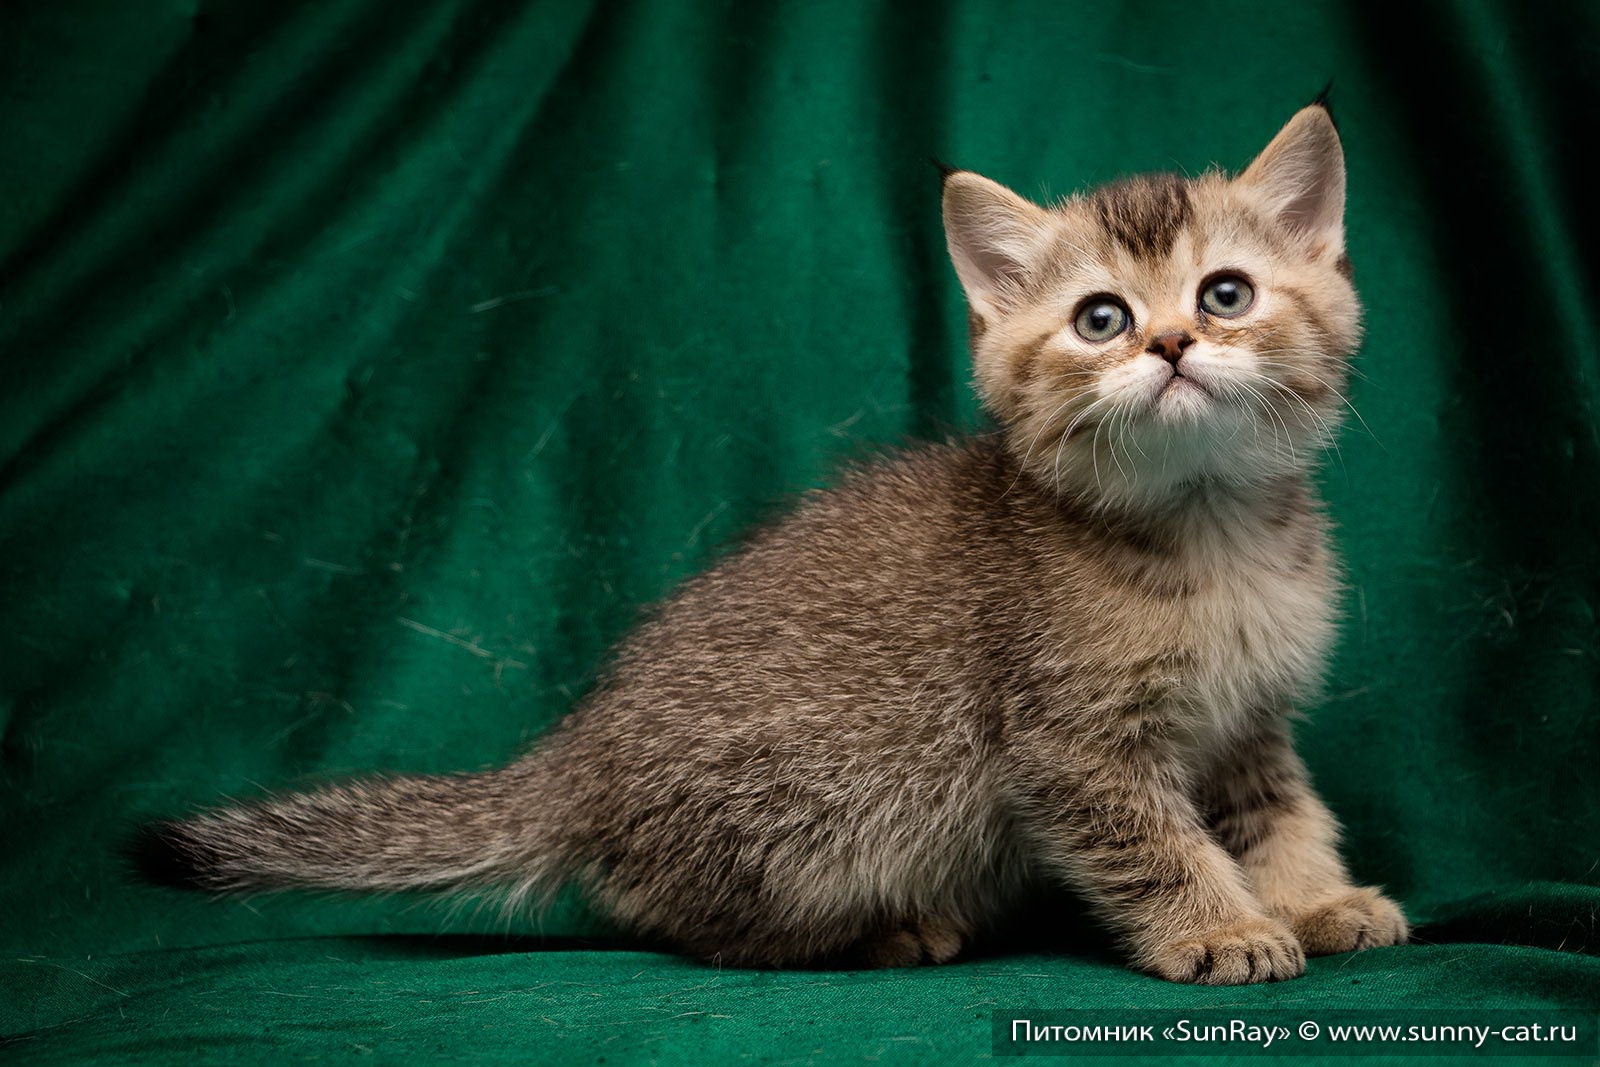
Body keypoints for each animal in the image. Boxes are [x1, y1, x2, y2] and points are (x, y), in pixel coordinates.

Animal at [140, 99, 1414, 985]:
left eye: (1224, 294)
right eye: (1100, 318)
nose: (1167, 346)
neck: (1208, 530)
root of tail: (578, 756)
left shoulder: (1249, 722)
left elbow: (1281, 814)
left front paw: (1312, 899)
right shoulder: (1069, 746)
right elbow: (1155, 842)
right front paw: (1221, 925)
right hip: (838, 803)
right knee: (675, 920)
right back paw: (884, 931)